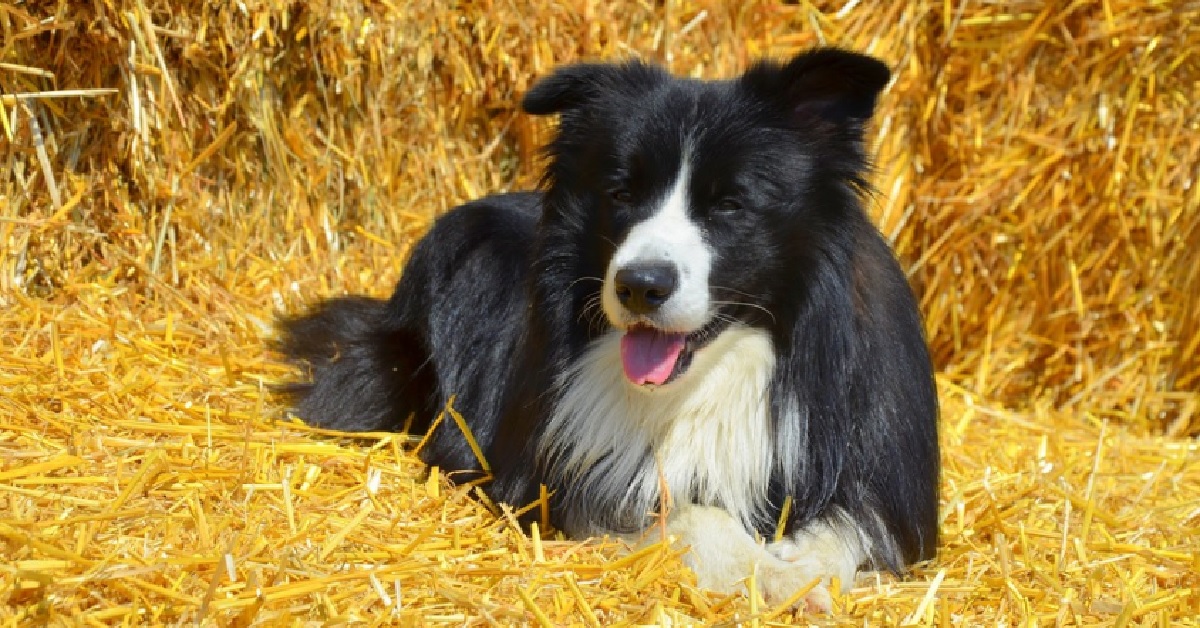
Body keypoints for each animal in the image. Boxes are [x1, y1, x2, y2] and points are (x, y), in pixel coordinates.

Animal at [280, 49, 936, 609]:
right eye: (621, 193)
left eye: (730, 204)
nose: (640, 285)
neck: (715, 375)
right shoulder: (557, 473)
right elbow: (680, 512)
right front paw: (764, 572)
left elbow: (855, 522)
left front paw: (800, 571)